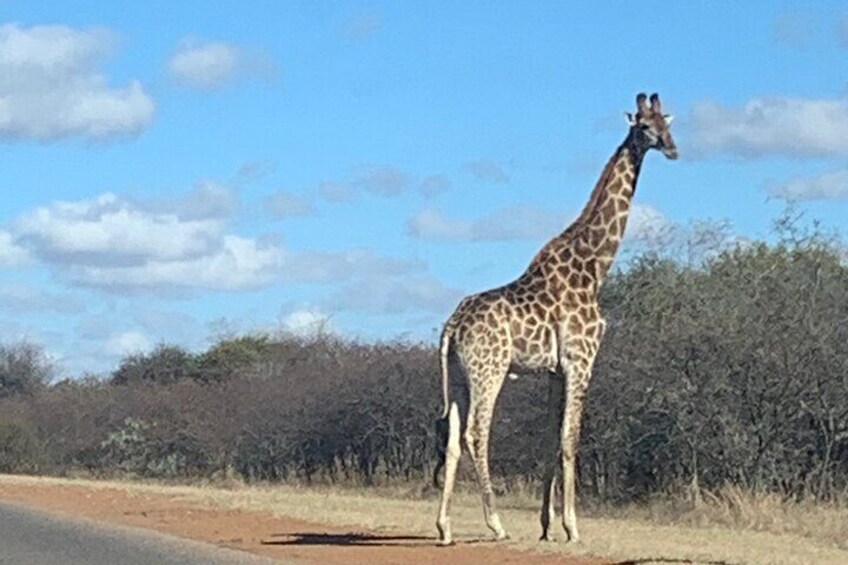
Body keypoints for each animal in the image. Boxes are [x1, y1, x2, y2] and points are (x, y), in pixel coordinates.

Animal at [434, 93, 677, 545]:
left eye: (669, 124)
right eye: (643, 126)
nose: (672, 148)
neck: (595, 267)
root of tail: (452, 326)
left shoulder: (554, 371)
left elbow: (549, 439)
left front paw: (546, 525)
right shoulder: (582, 359)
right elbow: (570, 438)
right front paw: (572, 526)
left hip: (457, 375)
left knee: (454, 438)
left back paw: (444, 527)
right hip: (489, 370)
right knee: (476, 433)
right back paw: (496, 524)